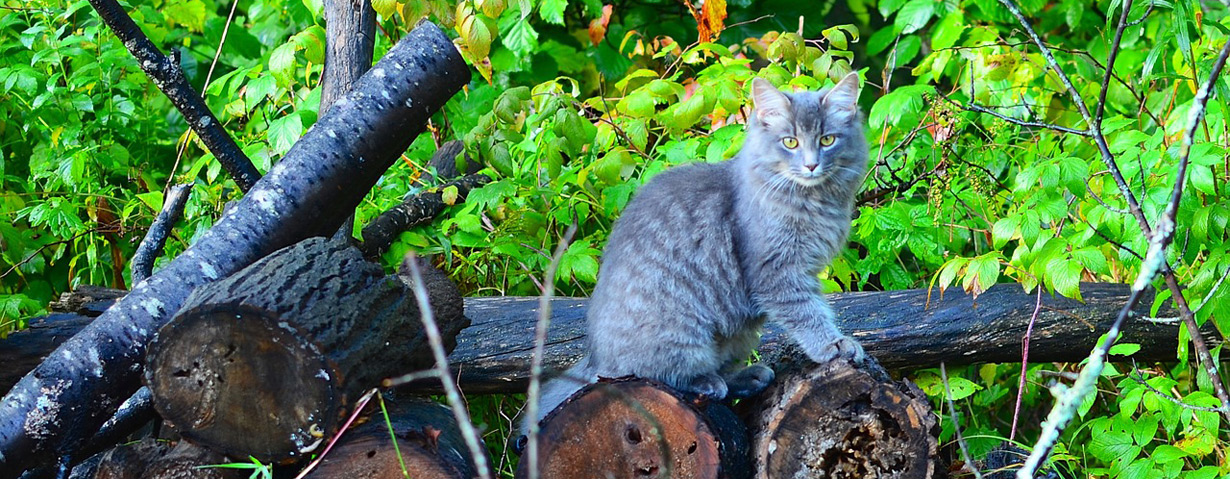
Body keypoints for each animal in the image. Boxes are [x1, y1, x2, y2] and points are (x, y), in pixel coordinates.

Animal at [533, 71, 870, 426]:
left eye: (827, 140)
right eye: (790, 142)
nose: (811, 165)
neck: (813, 201)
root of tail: (595, 356)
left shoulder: (801, 271)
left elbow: (817, 309)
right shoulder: (778, 273)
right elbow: (809, 314)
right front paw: (834, 346)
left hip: (740, 334)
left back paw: (748, 377)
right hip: (681, 330)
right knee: (653, 374)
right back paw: (708, 383)